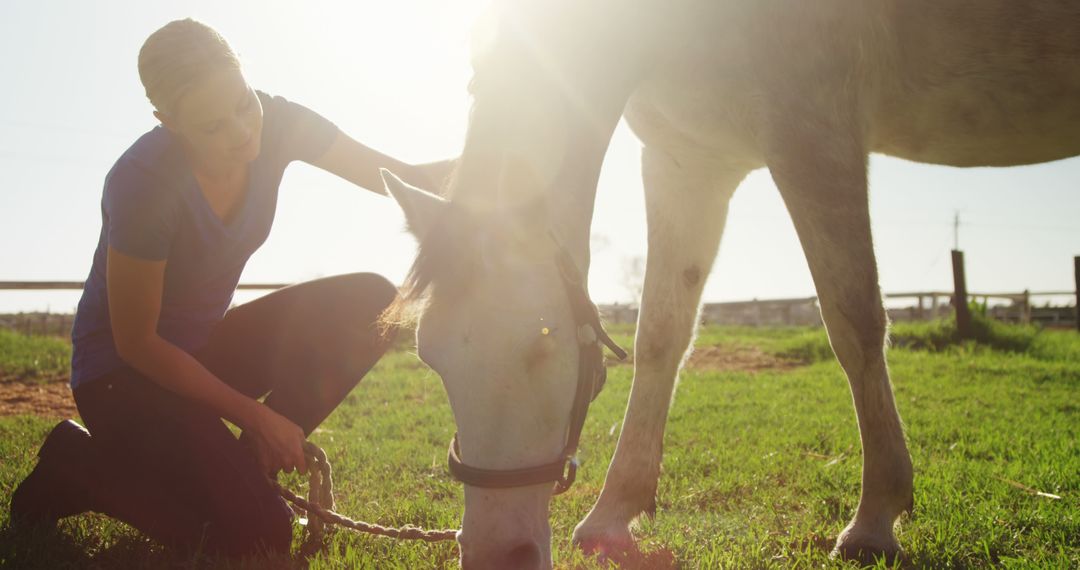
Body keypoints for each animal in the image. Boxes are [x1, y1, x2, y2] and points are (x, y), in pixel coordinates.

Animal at [375, 2, 1075, 565]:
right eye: (430, 356)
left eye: (543, 345)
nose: (495, 552)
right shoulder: (688, 161)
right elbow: (662, 334)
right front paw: (614, 512)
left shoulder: (812, 132)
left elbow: (853, 321)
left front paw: (874, 517)